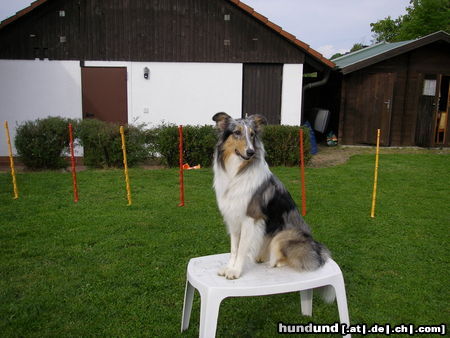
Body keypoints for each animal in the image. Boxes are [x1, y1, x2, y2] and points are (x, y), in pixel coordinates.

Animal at [212, 113, 334, 298]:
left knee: (284, 258)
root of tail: (316, 249)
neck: (237, 171)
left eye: (252, 134)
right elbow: (234, 248)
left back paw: (274, 261)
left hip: (282, 236)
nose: (250, 151)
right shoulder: (233, 218)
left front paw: (236, 271)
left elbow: (242, 249)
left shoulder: (250, 218)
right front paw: (228, 267)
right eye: (237, 133)